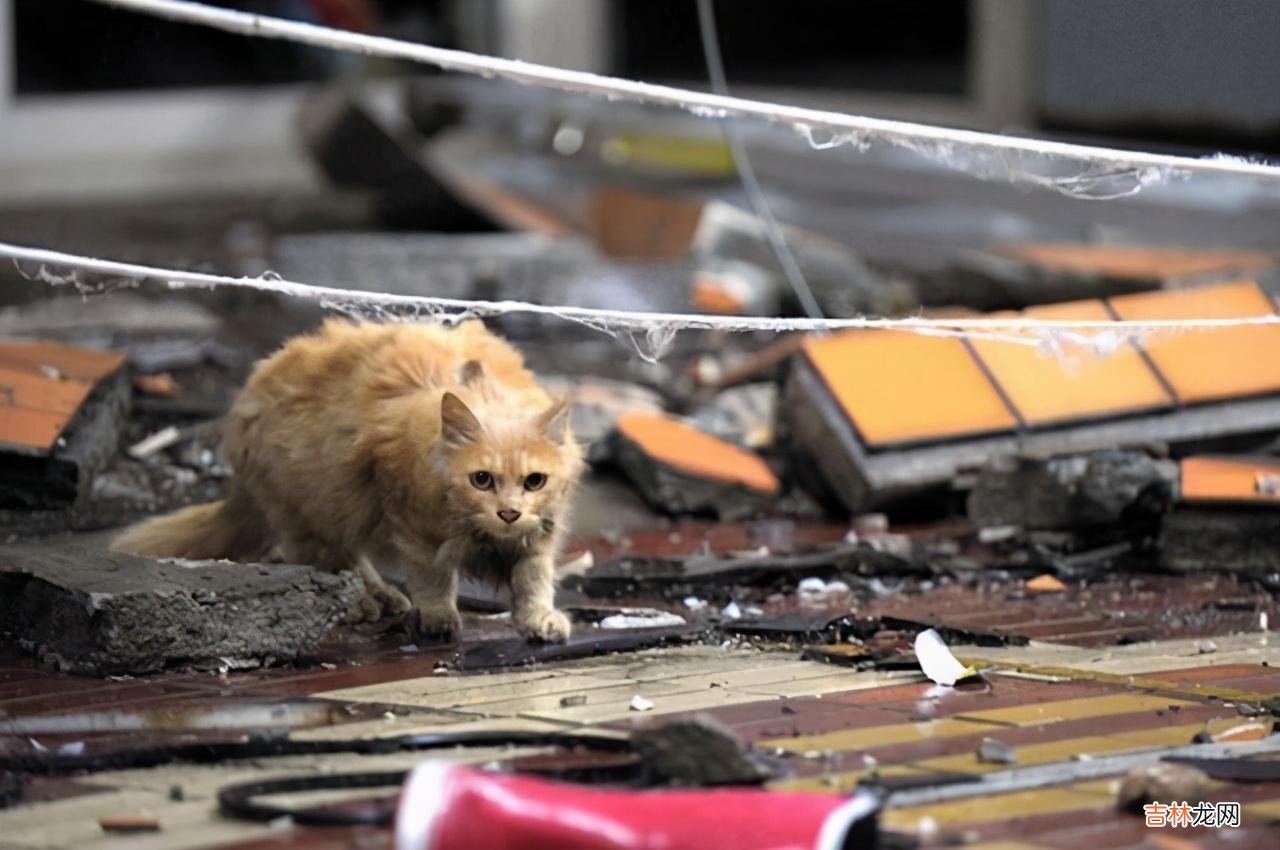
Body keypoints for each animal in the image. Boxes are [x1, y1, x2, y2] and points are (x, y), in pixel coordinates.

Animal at [115, 318, 586, 645]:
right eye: (482, 480)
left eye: (534, 481)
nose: (509, 512)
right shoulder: (410, 519)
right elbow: (433, 577)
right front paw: (438, 617)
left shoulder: (539, 534)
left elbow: (534, 580)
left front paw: (538, 619)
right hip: (316, 500)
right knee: (328, 556)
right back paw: (366, 601)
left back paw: (383, 597)